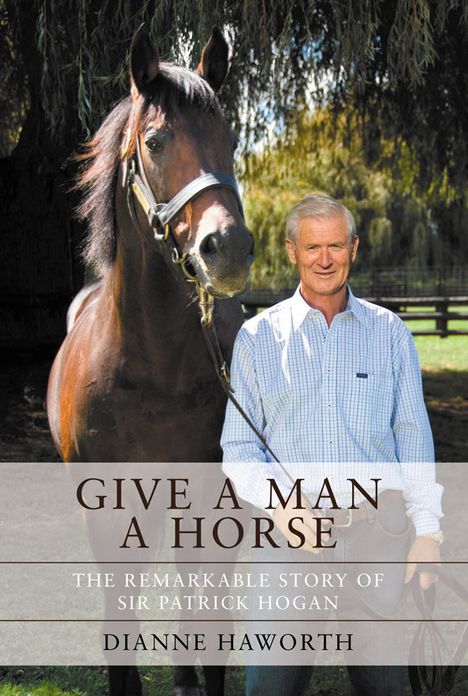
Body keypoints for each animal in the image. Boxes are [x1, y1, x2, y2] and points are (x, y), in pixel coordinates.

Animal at [47, 26, 253, 696]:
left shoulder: (216, 508)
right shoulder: (108, 515)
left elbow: (211, 630)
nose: (229, 247)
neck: (155, 365)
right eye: (156, 141)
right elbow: (121, 633)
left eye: (232, 140)